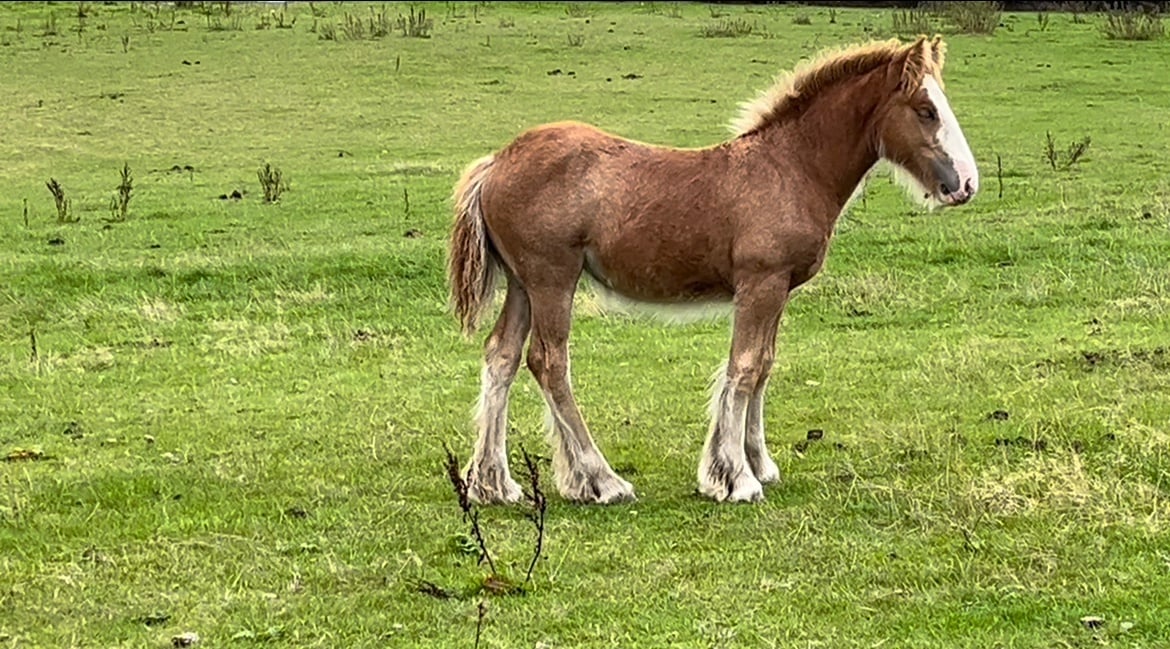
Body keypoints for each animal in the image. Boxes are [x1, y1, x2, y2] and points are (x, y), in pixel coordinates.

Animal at [446, 35, 978, 505]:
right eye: (926, 110)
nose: (967, 184)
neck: (790, 169)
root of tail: (497, 162)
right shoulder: (760, 283)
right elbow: (743, 368)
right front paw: (735, 478)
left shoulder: (780, 289)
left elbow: (764, 365)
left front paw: (758, 463)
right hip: (553, 278)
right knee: (548, 362)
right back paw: (601, 481)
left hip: (523, 284)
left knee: (501, 357)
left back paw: (493, 484)